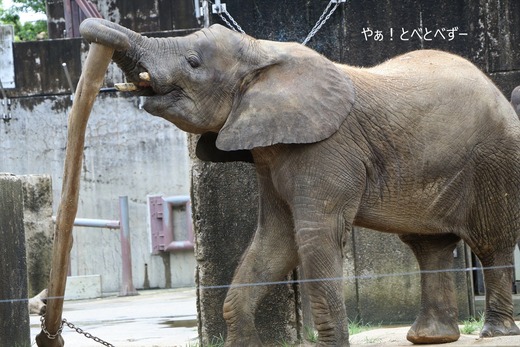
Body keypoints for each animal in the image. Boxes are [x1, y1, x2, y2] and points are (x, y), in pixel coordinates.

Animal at [78, 19, 520, 347]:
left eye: (192, 62)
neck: (263, 52)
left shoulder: (326, 149)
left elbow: (313, 237)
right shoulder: (269, 156)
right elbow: (275, 239)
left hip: (494, 160)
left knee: (490, 241)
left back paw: (493, 331)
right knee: (429, 246)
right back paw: (430, 338)